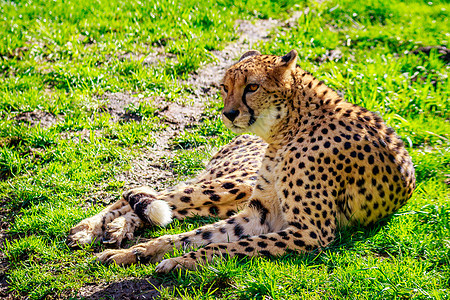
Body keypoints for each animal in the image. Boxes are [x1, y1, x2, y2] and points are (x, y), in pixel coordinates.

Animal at [67, 49, 414, 274]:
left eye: (253, 87)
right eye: (224, 87)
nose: (229, 113)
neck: (286, 129)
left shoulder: (307, 231)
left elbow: (220, 244)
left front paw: (177, 261)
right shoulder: (261, 214)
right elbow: (189, 236)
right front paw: (139, 252)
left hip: (229, 190)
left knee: (155, 200)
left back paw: (109, 230)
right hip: (227, 185)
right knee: (148, 196)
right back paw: (90, 230)